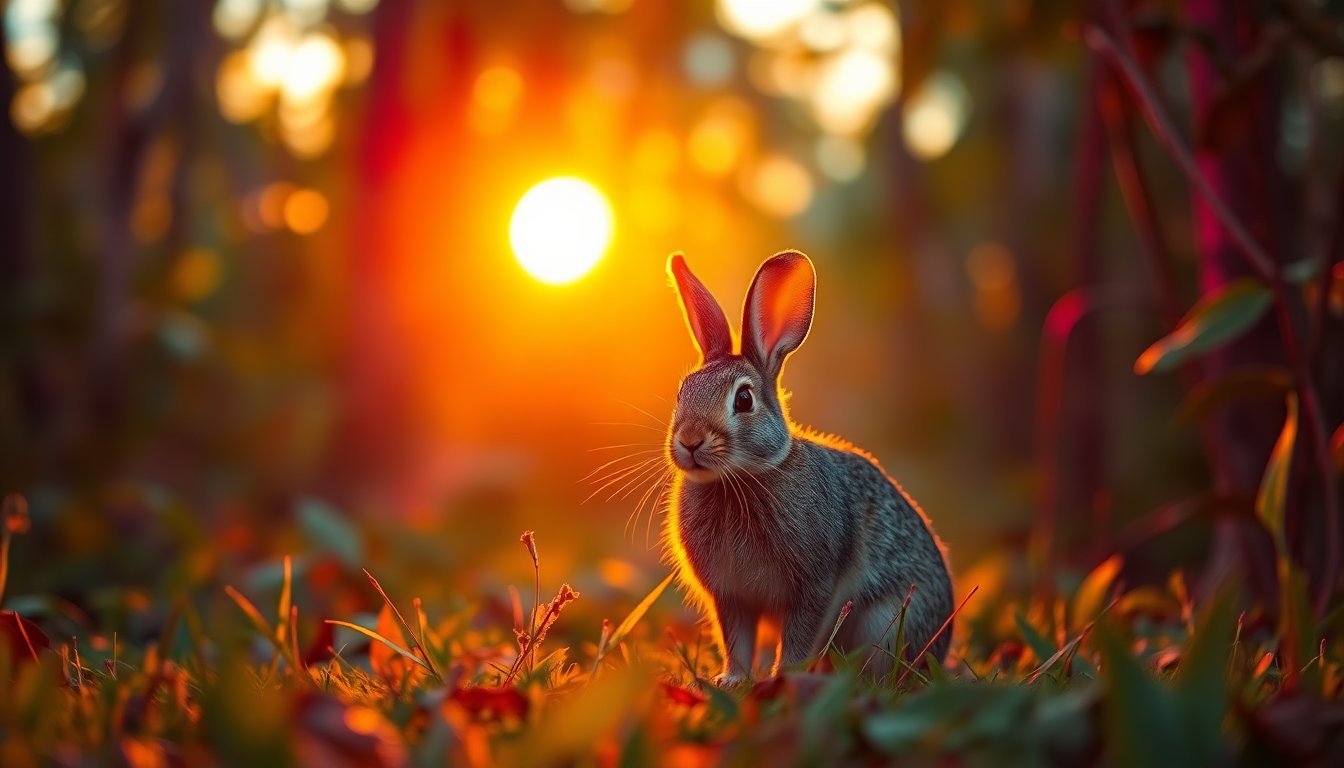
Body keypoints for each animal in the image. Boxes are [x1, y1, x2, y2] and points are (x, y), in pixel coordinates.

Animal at [662, 250, 954, 684]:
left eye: (744, 399)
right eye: (682, 392)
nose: (690, 440)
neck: (740, 479)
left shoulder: (814, 586)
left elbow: (799, 636)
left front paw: (784, 677)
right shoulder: (731, 597)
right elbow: (737, 640)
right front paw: (732, 680)